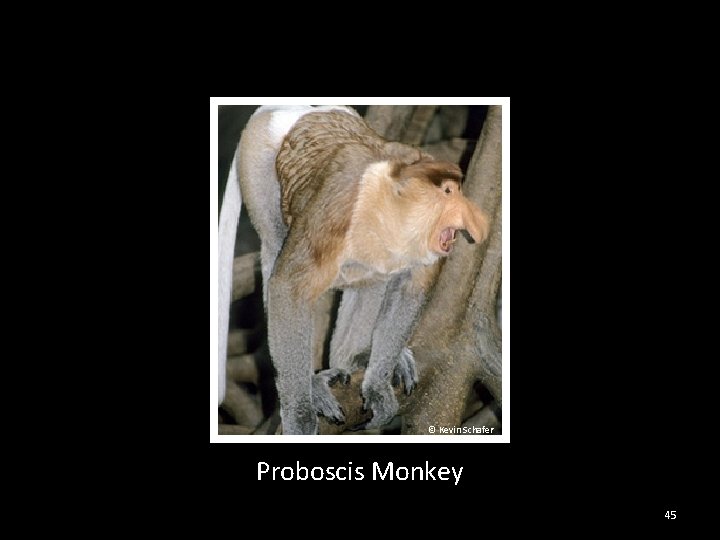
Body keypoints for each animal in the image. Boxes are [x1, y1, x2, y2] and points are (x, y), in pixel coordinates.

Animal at [221, 105, 488, 434]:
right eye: (448, 191)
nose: (466, 213)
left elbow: (410, 289)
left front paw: (377, 384)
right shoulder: (335, 212)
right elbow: (287, 287)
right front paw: (300, 415)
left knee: (372, 281)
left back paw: (354, 358)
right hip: (257, 159)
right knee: (274, 243)